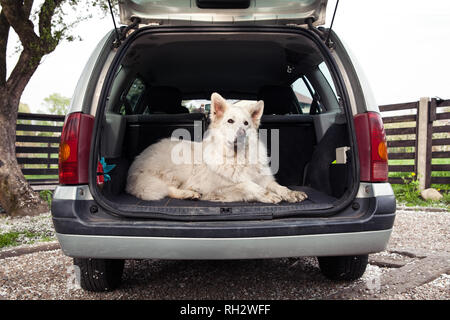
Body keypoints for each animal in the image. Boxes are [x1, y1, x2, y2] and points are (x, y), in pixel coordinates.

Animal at [126, 92, 310, 204]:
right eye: (230, 121)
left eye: (246, 123)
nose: (241, 134)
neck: (237, 159)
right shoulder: (221, 187)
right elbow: (248, 185)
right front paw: (268, 195)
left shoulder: (263, 178)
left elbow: (276, 185)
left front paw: (291, 193)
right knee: (167, 189)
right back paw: (188, 193)